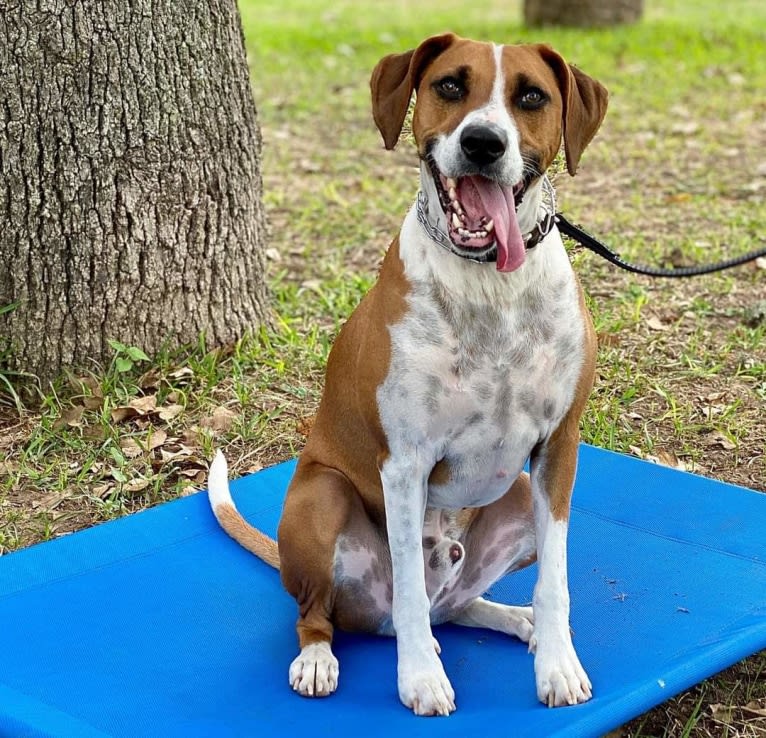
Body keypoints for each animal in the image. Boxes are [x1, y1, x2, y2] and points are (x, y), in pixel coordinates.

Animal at [207, 33, 608, 712]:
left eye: (531, 96)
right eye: (450, 85)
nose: (483, 143)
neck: (490, 284)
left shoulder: (558, 449)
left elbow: (556, 578)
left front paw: (556, 662)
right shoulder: (405, 462)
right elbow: (410, 589)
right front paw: (419, 677)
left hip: (518, 493)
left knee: (456, 604)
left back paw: (514, 618)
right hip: (321, 498)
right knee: (333, 612)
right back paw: (318, 657)